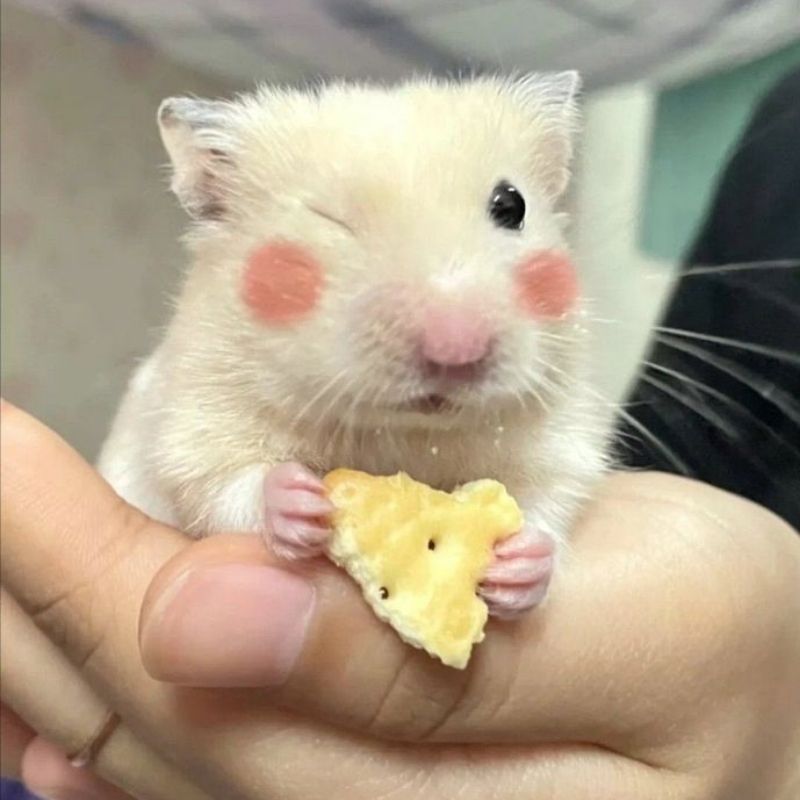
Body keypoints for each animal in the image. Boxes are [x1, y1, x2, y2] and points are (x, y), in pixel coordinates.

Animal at [97, 73, 612, 619]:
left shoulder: (561, 440)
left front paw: (521, 565)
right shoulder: (191, 428)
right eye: (328, 218)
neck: (403, 433)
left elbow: (548, 502)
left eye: (511, 205)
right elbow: (224, 485)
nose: (456, 348)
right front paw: (302, 501)